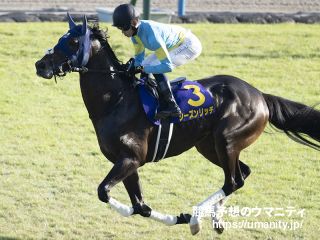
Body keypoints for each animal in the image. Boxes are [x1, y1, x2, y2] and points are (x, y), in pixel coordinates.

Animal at [34, 14, 320, 234]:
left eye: (72, 41)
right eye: (60, 39)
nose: (40, 64)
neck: (116, 100)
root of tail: (260, 95)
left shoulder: (130, 158)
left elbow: (104, 192)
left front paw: (184, 217)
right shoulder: (126, 161)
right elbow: (140, 207)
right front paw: (177, 217)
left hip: (226, 140)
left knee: (233, 181)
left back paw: (196, 218)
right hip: (209, 146)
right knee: (241, 175)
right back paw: (214, 220)